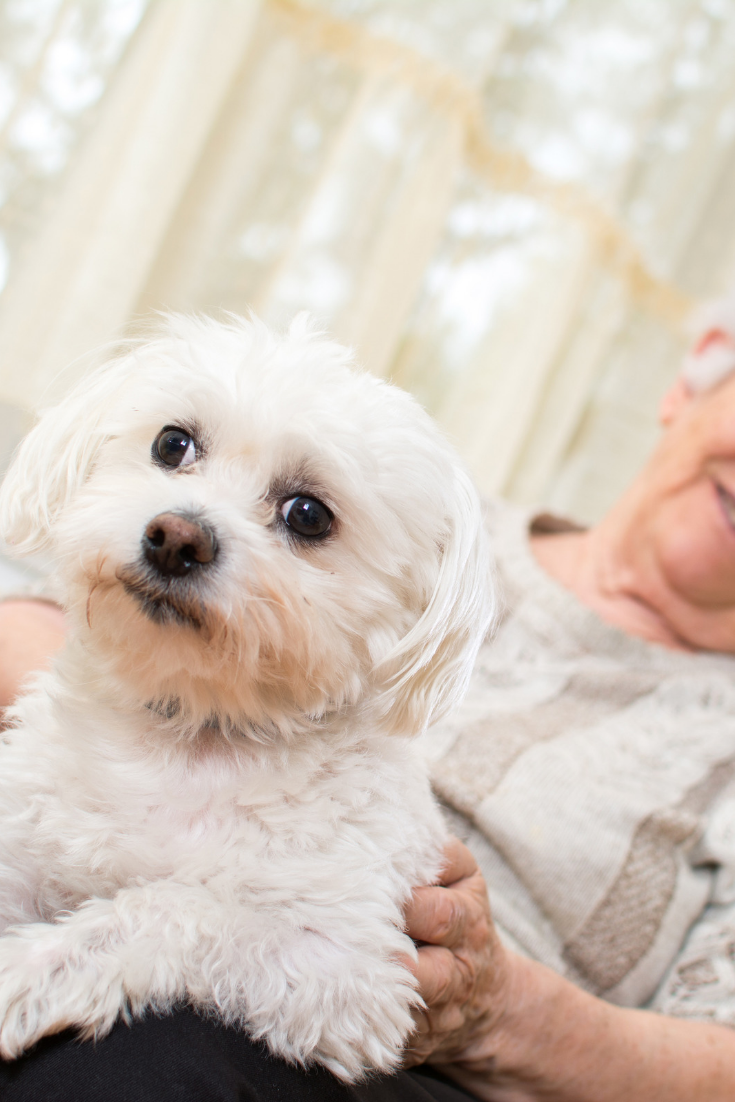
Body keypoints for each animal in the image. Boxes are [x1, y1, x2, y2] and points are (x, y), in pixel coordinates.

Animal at [0, 310, 491, 1075]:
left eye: (308, 515)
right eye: (172, 443)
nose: (176, 537)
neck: (191, 731)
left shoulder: (345, 975)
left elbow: (176, 905)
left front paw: (33, 970)